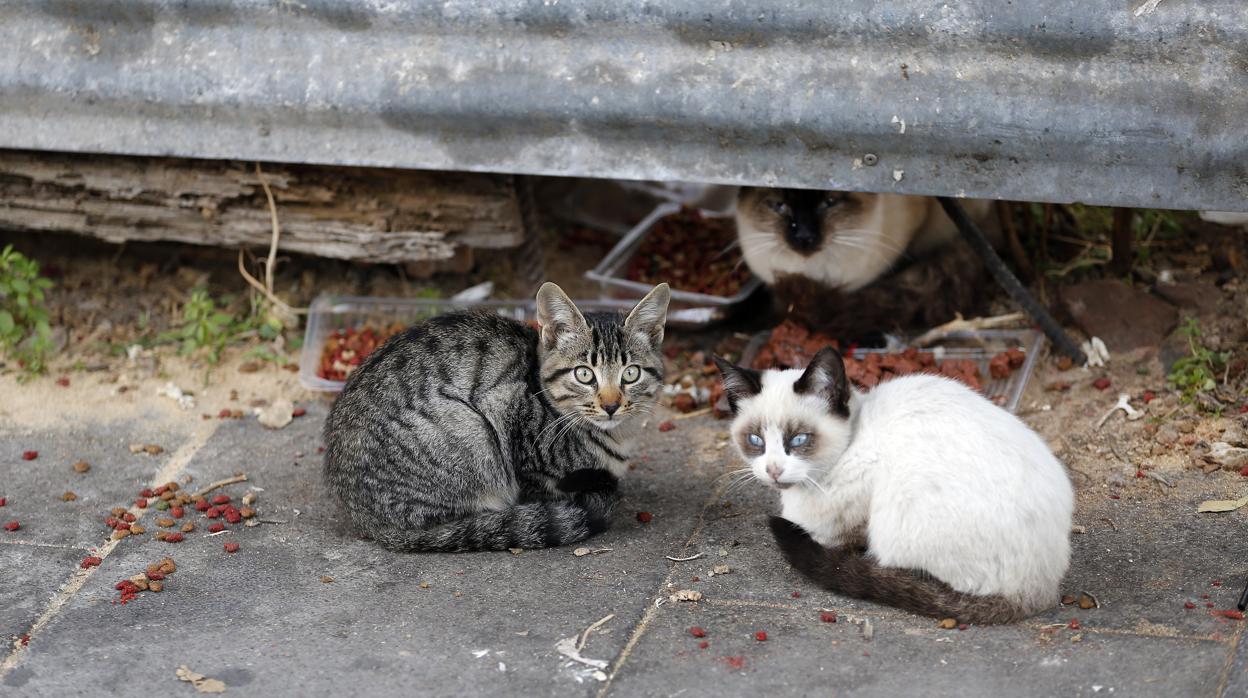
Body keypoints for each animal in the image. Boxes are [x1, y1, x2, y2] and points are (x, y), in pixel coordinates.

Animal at [718, 352, 1078, 624]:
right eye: (755, 440)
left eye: (798, 440)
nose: (773, 470)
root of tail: (1040, 590)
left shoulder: (850, 515)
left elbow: (834, 537)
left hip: (899, 514)